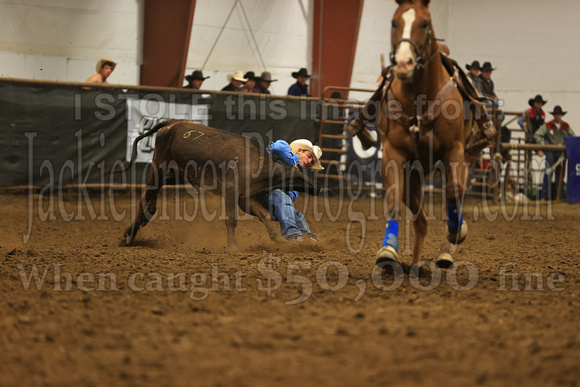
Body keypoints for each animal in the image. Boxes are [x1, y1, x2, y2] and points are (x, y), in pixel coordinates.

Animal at [376, 0, 472, 268]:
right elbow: (393, 201)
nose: (403, 63)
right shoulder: (393, 154)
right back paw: (416, 264)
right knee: (421, 221)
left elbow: (453, 193)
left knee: (454, 196)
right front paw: (388, 250)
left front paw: (456, 231)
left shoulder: (454, 151)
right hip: (413, 177)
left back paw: (445, 253)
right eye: (394, 22)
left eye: (425, 23)